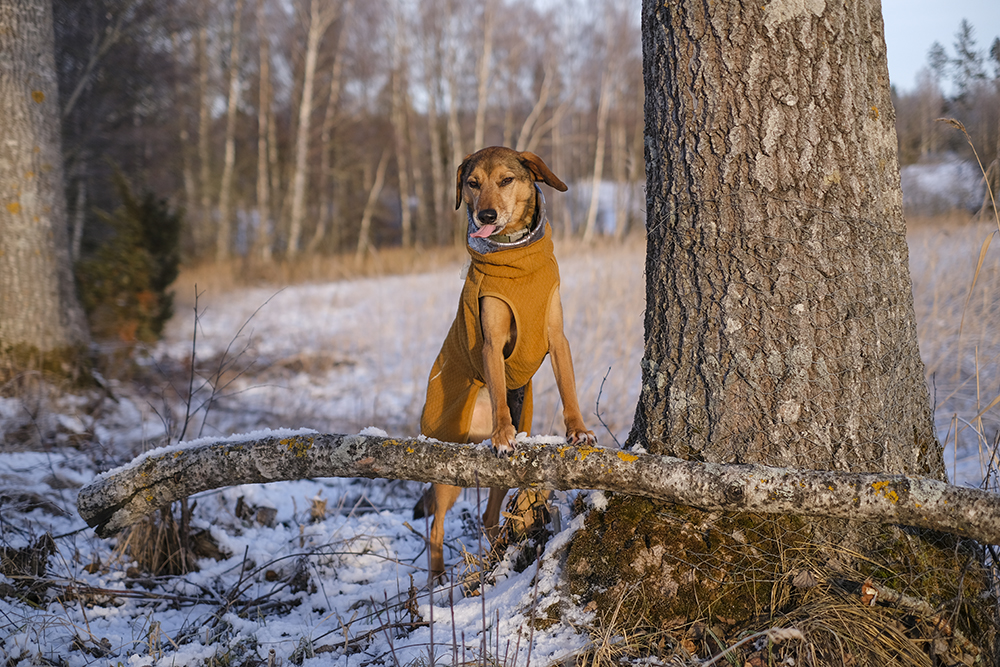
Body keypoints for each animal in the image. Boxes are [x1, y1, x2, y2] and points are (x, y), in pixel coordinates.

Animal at [414, 145, 592, 580]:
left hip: (501, 476)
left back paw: (496, 556)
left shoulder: (557, 335)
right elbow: (497, 389)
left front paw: (578, 431)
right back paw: (438, 577)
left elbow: (569, 388)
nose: (486, 216)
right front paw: (501, 432)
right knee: (436, 524)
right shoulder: (492, 342)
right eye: (472, 183)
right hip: (447, 460)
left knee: (490, 517)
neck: (516, 258)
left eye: (507, 180)